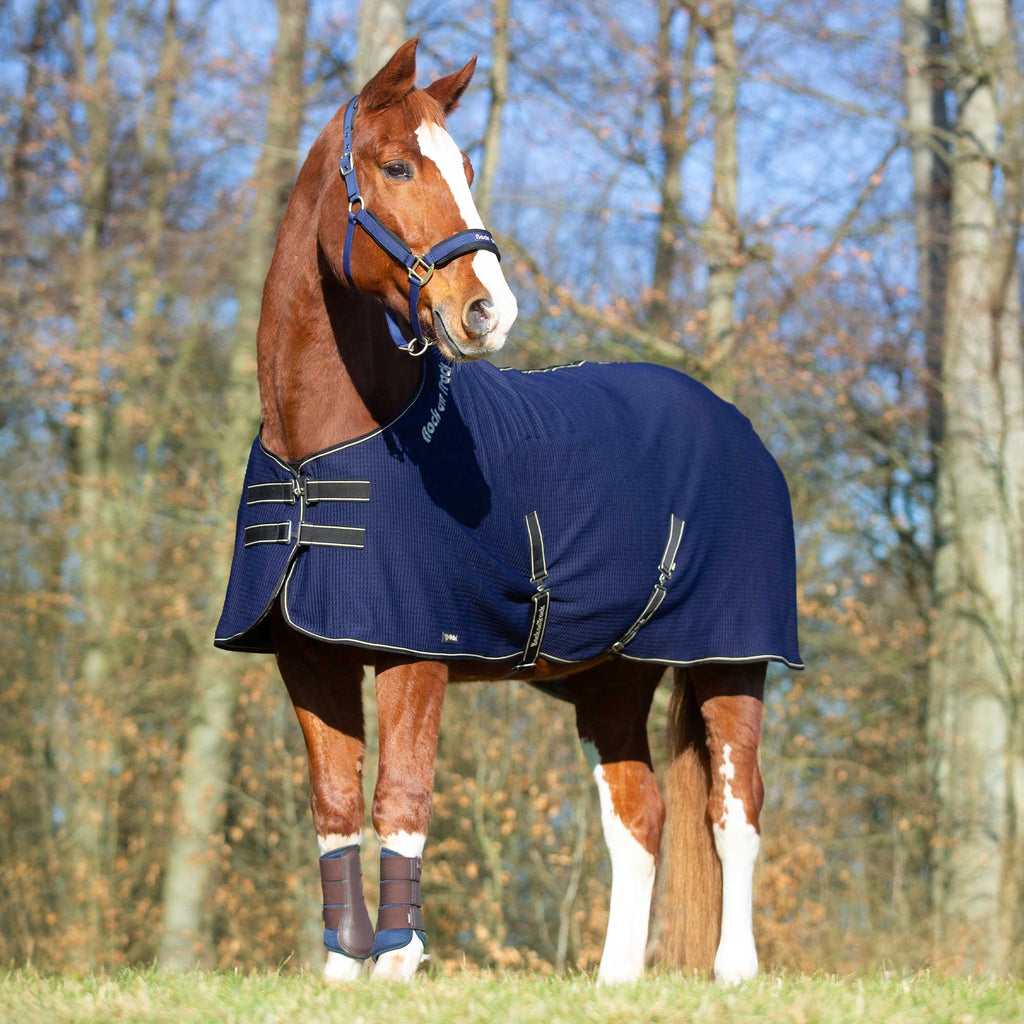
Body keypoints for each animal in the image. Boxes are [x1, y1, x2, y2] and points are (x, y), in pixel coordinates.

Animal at [214, 39, 801, 985]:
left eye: (465, 167)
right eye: (397, 165)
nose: (488, 311)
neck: (320, 456)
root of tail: (736, 426)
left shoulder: (414, 653)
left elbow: (401, 799)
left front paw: (398, 966)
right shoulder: (309, 657)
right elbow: (336, 806)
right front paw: (342, 976)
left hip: (734, 662)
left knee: (734, 809)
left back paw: (735, 972)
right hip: (612, 681)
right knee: (639, 817)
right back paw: (615, 981)